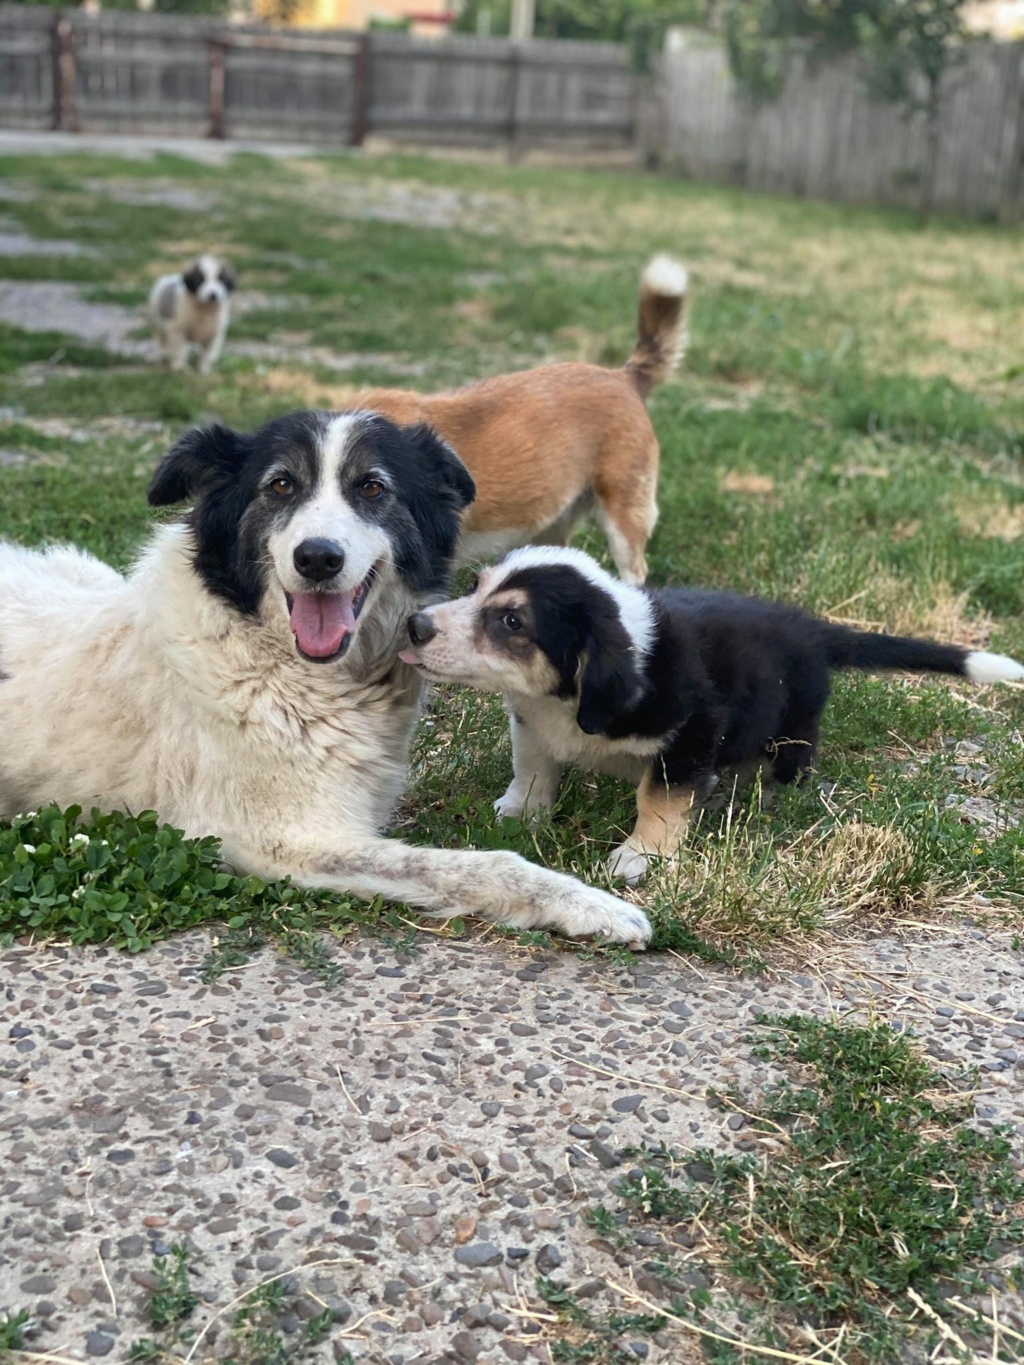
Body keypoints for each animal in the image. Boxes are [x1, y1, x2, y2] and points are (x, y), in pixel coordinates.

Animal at [0, 409, 652, 950]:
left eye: (372, 487)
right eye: (280, 485)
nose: (317, 558)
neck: (287, 668)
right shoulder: (281, 841)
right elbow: (481, 863)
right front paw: (592, 906)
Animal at [404, 543, 1024, 884]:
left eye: (512, 622)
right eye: (475, 586)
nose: (415, 626)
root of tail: (812, 628)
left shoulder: (691, 735)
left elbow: (657, 798)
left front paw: (639, 858)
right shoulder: (531, 723)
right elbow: (533, 770)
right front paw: (519, 814)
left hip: (793, 728)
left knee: (792, 761)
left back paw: (771, 795)